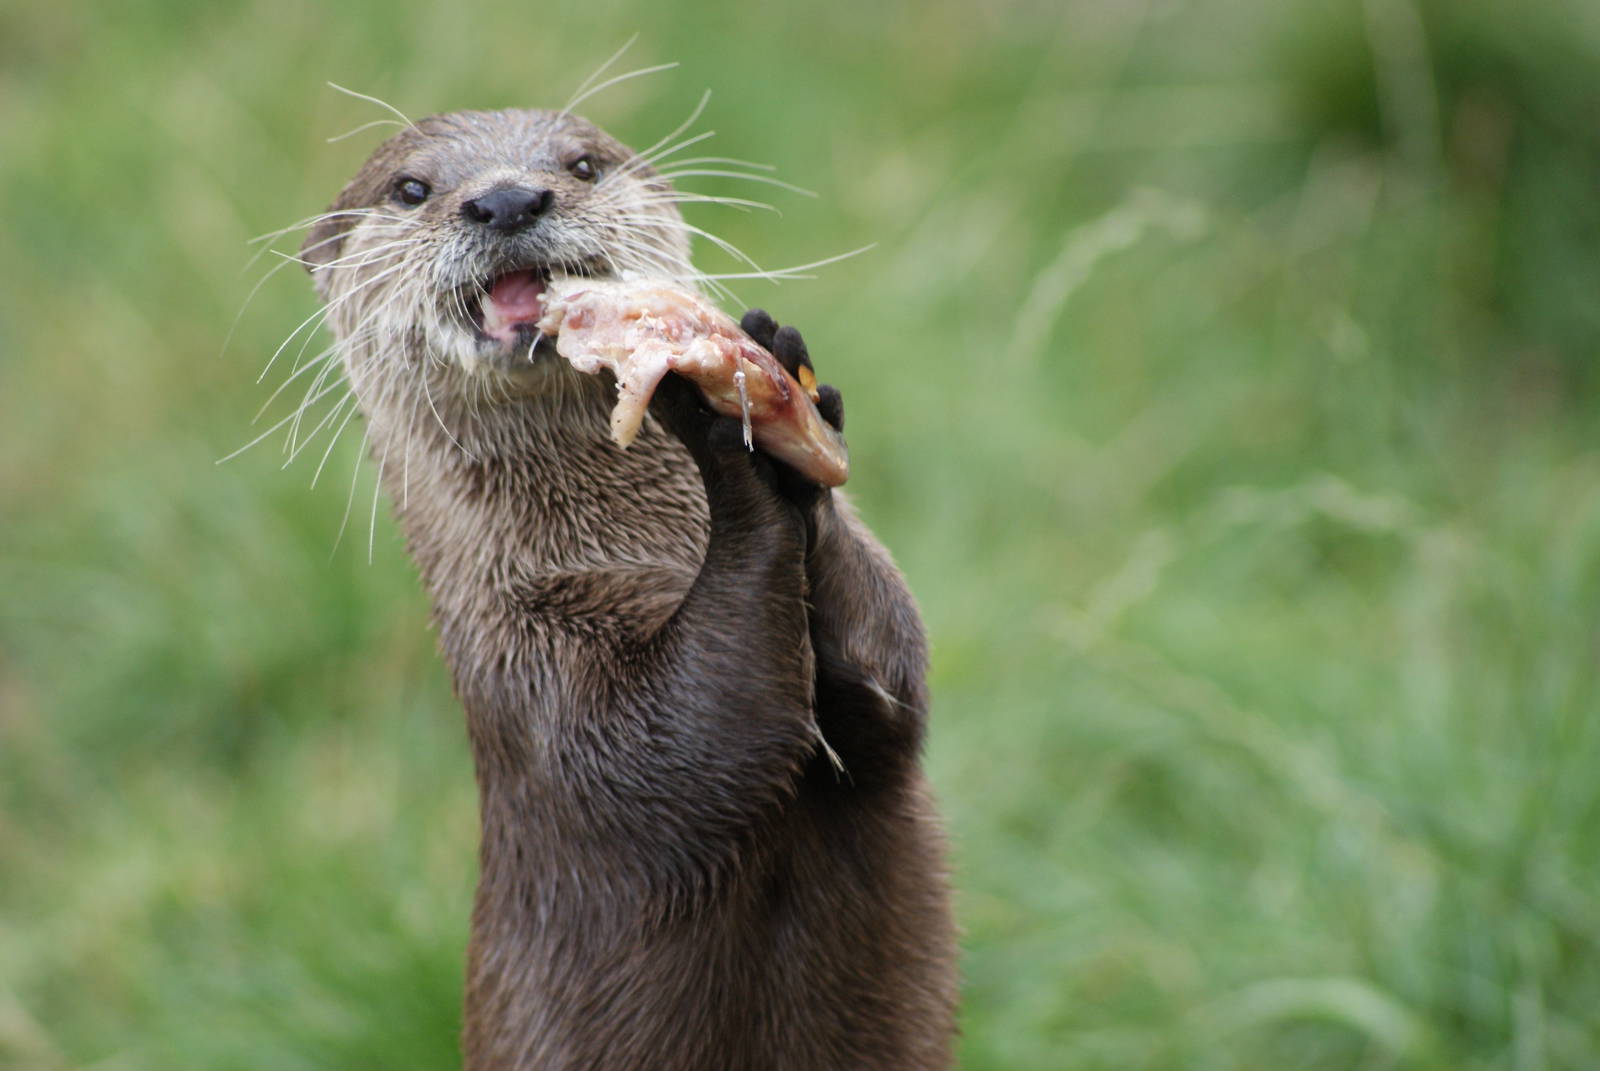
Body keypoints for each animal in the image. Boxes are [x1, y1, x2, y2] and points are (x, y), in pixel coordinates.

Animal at [297, 107, 957, 1070]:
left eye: (581, 164)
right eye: (411, 188)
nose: (505, 198)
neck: (638, 551)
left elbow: (890, 676)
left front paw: (787, 390)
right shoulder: (538, 677)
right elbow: (694, 744)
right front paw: (720, 426)